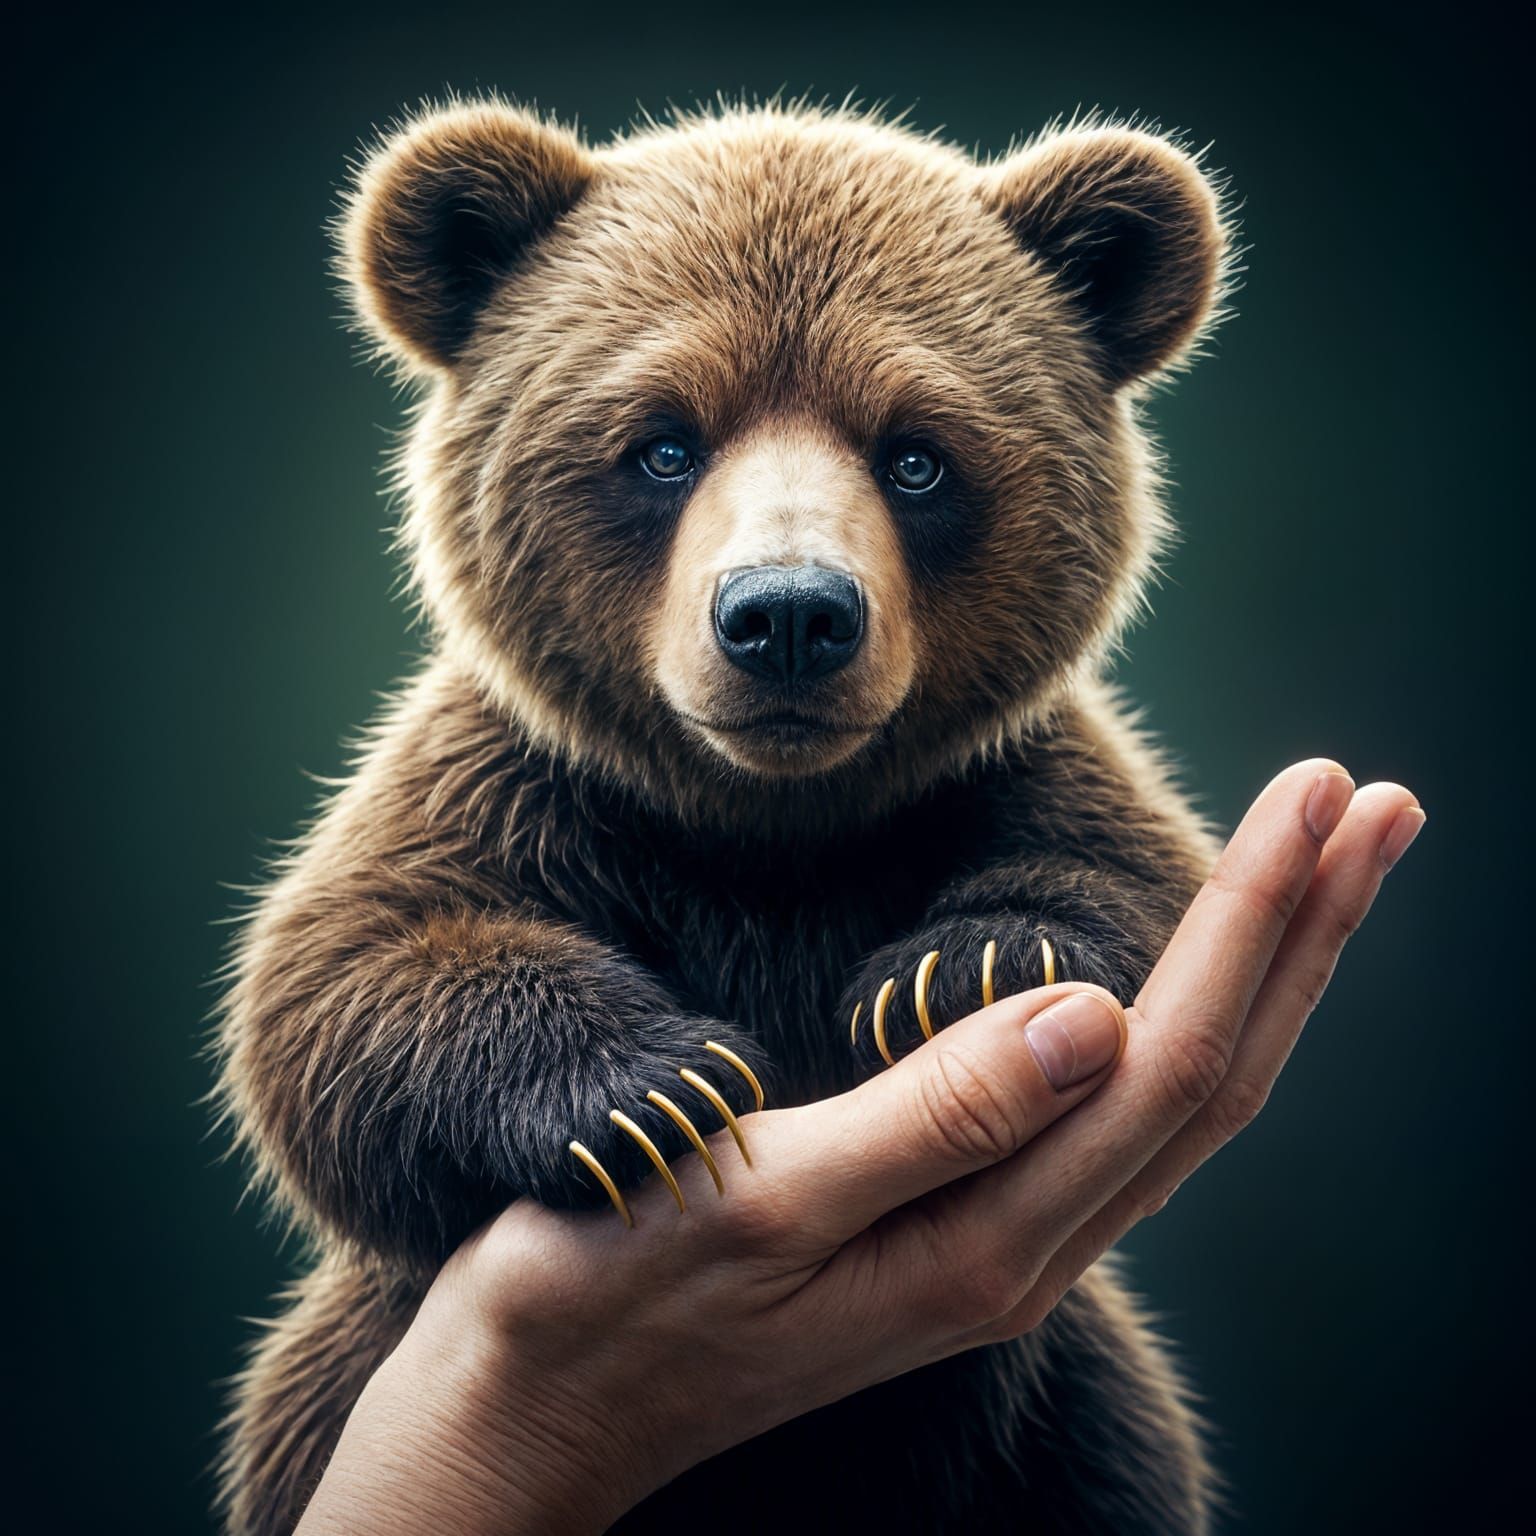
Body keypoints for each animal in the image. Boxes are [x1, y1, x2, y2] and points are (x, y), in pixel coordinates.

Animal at [216, 97, 1233, 1534]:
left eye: (916, 454)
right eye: (663, 441)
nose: (789, 616)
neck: (768, 830)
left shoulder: (993, 776)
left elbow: (1131, 872)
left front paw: (968, 966)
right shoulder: (530, 787)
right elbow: (344, 980)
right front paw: (655, 1090)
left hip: (1057, 1433)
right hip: (329, 1387)